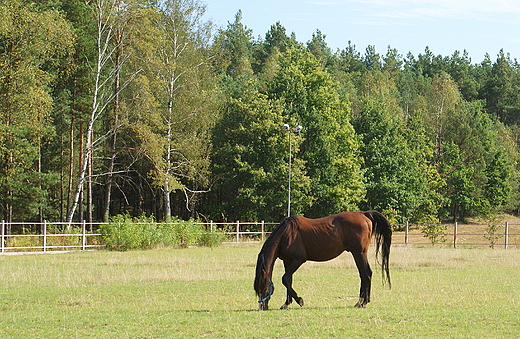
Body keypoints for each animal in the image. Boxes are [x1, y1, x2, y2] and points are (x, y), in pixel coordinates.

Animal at [252, 211, 390, 312]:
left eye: (262, 286)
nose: (262, 307)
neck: (286, 234)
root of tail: (363, 214)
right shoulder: (288, 261)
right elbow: (288, 280)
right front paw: (286, 303)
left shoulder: (298, 260)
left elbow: (285, 279)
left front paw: (300, 300)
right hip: (358, 254)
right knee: (364, 275)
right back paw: (361, 302)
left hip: (359, 253)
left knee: (366, 274)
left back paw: (363, 302)